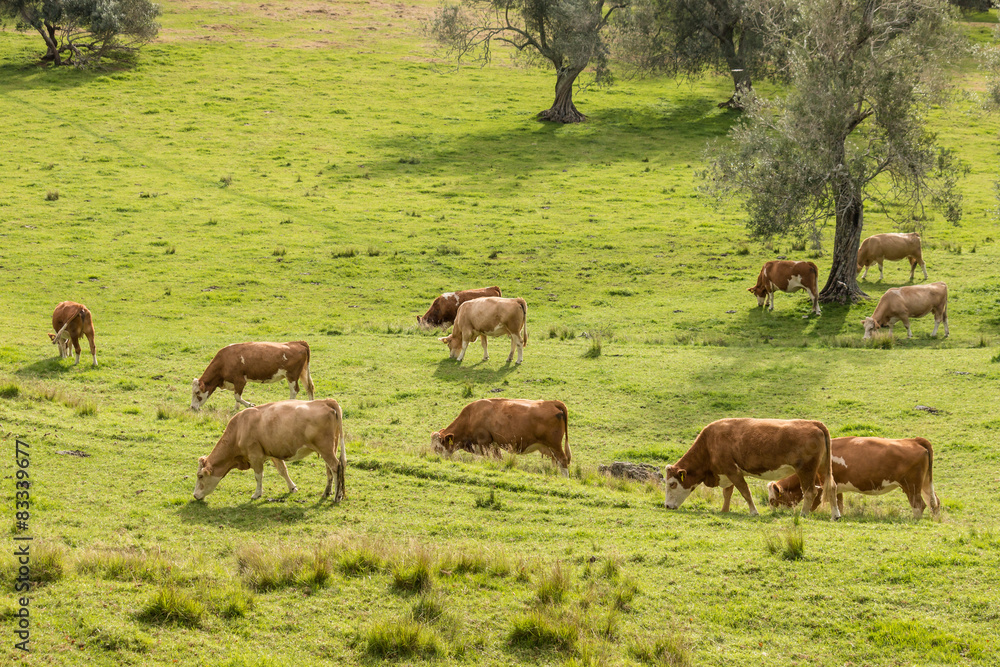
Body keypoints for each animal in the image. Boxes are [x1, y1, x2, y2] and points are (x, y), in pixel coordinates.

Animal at [192, 399, 346, 501]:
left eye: (200, 476)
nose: (194, 495)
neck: (239, 429)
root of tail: (325, 401)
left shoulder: (255, 456)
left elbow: (258, 476)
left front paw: (257, 494)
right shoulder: (273, 453)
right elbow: (283, 471)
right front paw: (292, 488)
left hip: (326, 449)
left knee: (336, 467)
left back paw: (337, 496)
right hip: (330, 448)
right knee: (330, 469)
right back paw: (327, 492)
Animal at [431, 398, 571, 473]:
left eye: (437, 447)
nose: (433, 459)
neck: (471, 416)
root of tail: (551, 402)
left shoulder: (484, 442)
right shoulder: (494, 444)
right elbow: (498, 459)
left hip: (555, 445)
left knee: (563, 461)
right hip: (550, 448)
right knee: (557, 462)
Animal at [663, 418, 840, 520]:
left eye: (672, 483)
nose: (666, 506)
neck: (709, 443)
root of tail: (813, 423)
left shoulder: (732, 470)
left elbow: (744, 491)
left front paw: (754, 512)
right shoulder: (726, 472)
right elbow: (727, 493)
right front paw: (724, 510)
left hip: (806, 469)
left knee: (810, 491)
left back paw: (803, 514)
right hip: (823, 467)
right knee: (831, 488)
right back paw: (835, 515)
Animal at [766, 436, 940, 520]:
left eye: (773, 500)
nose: (775, 514)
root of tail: (914, 440)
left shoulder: (821, 486)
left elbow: (816, 502)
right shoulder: (836, 488)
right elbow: (839, 504)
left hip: (911, 486)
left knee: (919, 505)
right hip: (925, 484)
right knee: (934, 502)